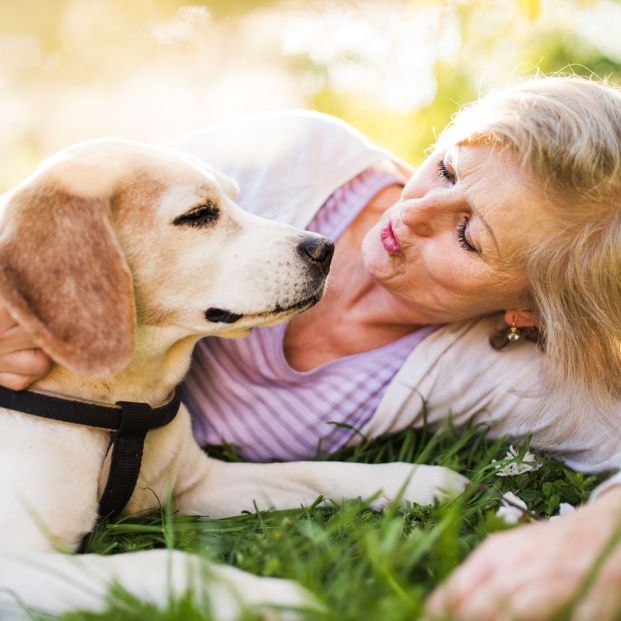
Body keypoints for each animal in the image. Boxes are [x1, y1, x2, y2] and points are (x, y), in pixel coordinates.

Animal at [0, 138, 464, 616]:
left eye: (236, 199)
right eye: (199, 214)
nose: (325, 248)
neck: (122, 405)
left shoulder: (196, 484)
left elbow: (312, 471)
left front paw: (411, 479)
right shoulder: (16, 564)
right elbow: (164, 565)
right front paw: (264, 598)